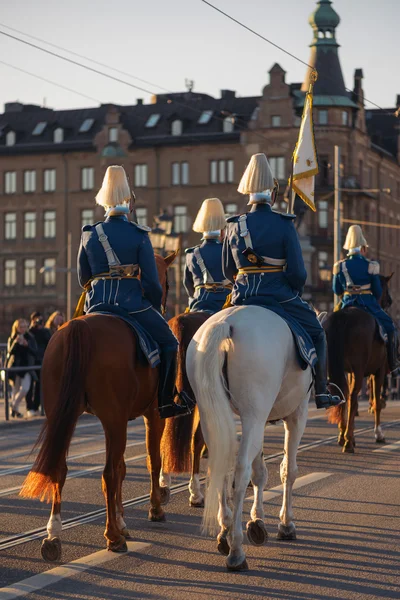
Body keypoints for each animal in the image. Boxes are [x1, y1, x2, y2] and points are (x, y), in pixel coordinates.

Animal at [20, 254, 177, 564]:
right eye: (166, 281)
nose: (164, 305)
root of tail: (77, 328)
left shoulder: (121, 420)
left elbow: (123, 466)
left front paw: (123, 521)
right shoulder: (150, 416)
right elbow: (150, 461)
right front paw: (153, 509)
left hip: (64, 416)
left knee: (61, 468)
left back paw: (53, 535)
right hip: (112, 420)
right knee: (107, 473)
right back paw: (112, 537)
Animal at [187, 308, 312, 568]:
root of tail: (226, 323)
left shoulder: (260, 420)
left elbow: (260, 472)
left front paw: (257, 520)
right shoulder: (297, 413)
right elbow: (288, 470)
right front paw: (286, 523)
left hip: (214, 413)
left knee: (221, 465)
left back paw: (224, 530)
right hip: (254, 413)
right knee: (240, 469)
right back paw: (236, 549)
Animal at [324, 274, 392, 452]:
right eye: (385, 288)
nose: (389, 301)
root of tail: (345, 316)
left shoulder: (348, 372)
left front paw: (343, 433)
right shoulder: (378, 371)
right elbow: (376, 401)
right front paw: (378, 434)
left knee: (343, 395)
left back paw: (344, 436)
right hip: (360, 370)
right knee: (354, 398)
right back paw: (348, 441)